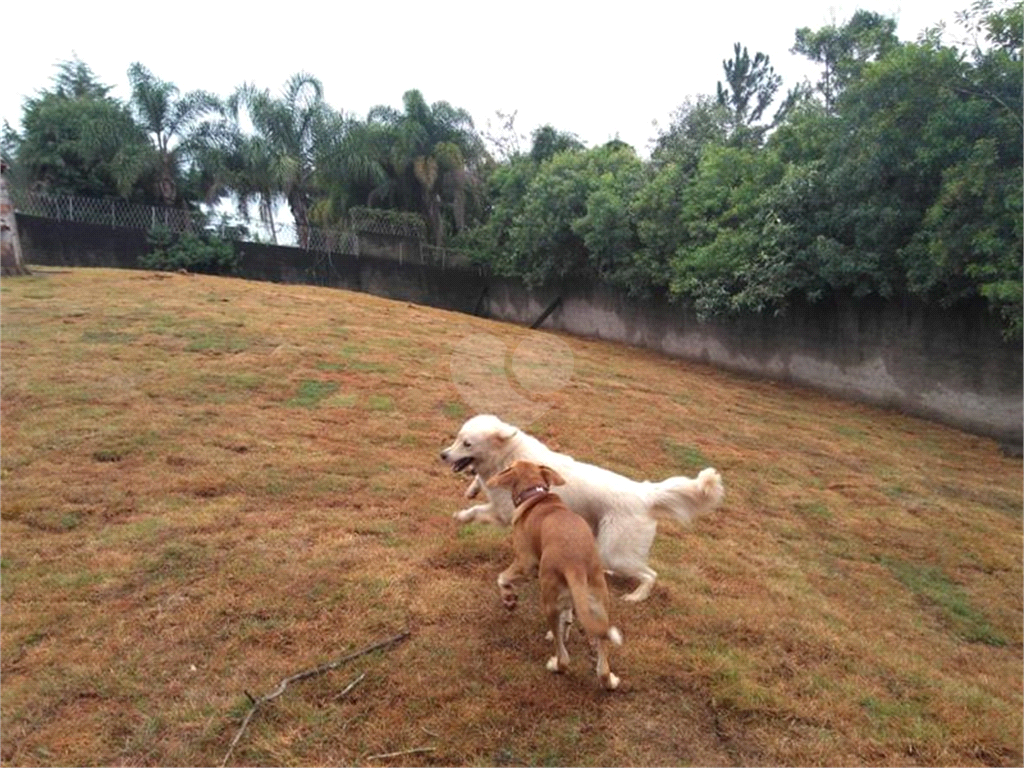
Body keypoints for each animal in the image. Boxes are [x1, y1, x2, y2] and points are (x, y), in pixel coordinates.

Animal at [444, 415, 724, 602]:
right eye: (457, 438)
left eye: (467, 444)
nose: (442, 455)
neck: (508, 456)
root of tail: (645, 493)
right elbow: (477, 489)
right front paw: (472, 489)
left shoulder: (504, 514)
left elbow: (477, 512)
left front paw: (462, 516)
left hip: (616, 551)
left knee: (650, 574)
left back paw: (636, 597)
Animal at [487, 462, 622, 692]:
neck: (536, 495)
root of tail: (576, 564)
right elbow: (567, 617)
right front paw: (564, 627)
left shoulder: (525, 563)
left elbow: (502, 578)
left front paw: (509, 599)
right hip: (599, 604)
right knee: (602, 659)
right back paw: (609, 680)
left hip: (548, 599)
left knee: (564, 659)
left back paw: (554, 664)